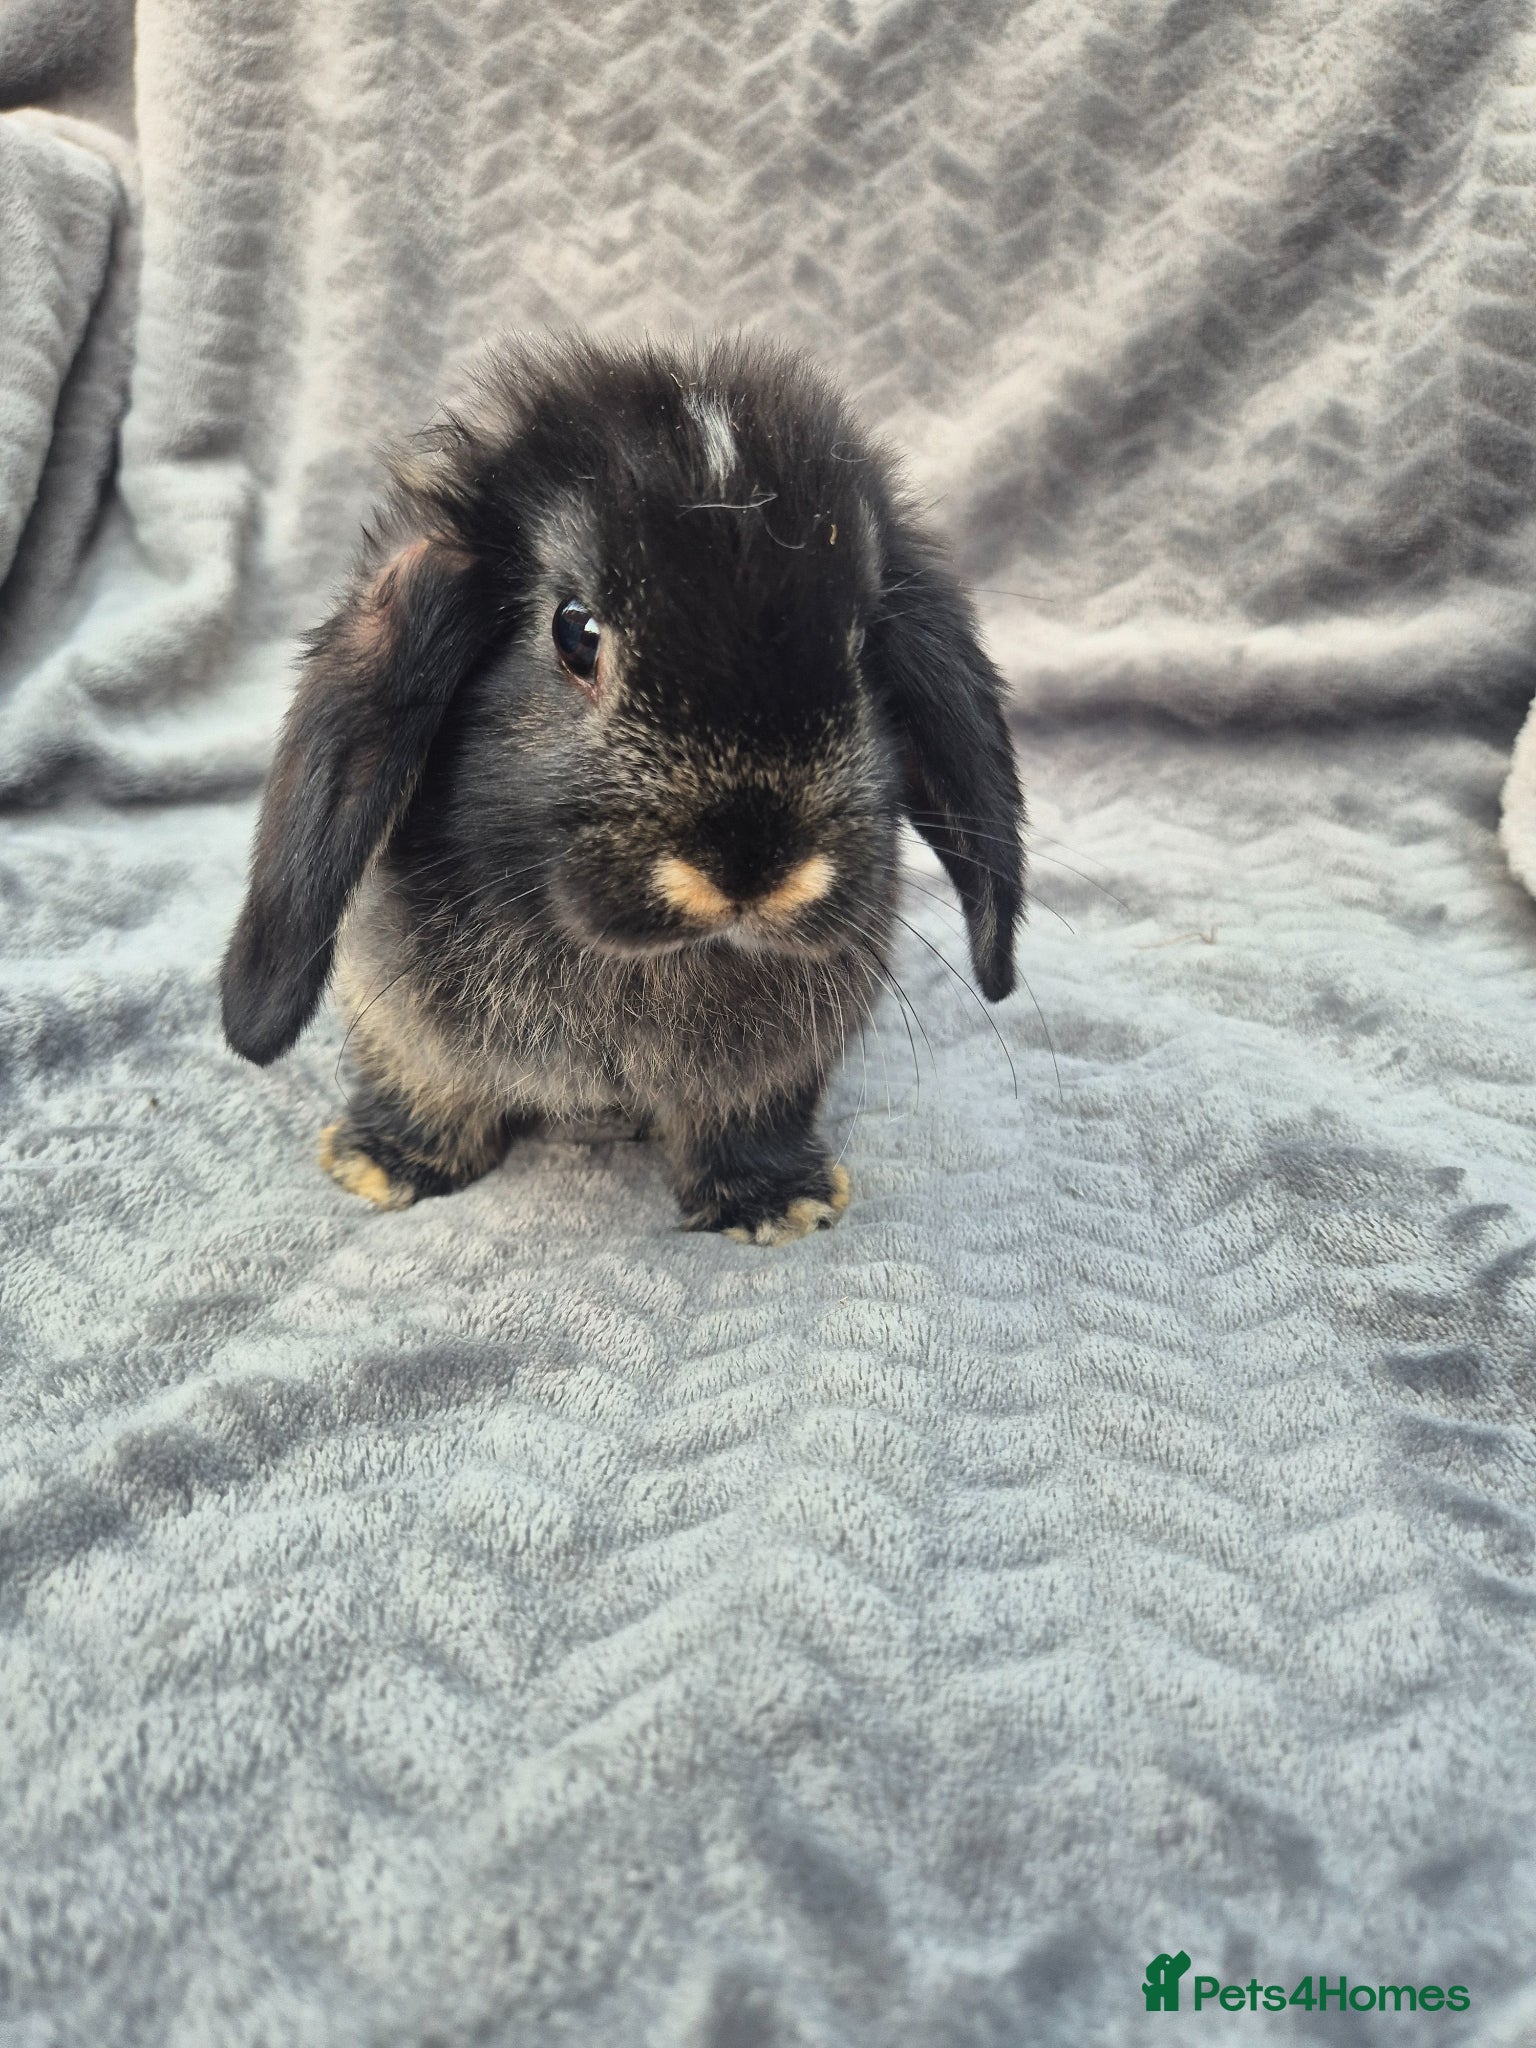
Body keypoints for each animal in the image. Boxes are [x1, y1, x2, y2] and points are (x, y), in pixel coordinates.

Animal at [220, 333, 1025, 1244]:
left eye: (860, 648)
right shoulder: (400, 1015)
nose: (753, 865)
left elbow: (751, 1117)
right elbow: (424, 1082)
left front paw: (777, 1203)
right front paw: (383, 1165)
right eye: (576, 632)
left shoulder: (775, 1071)